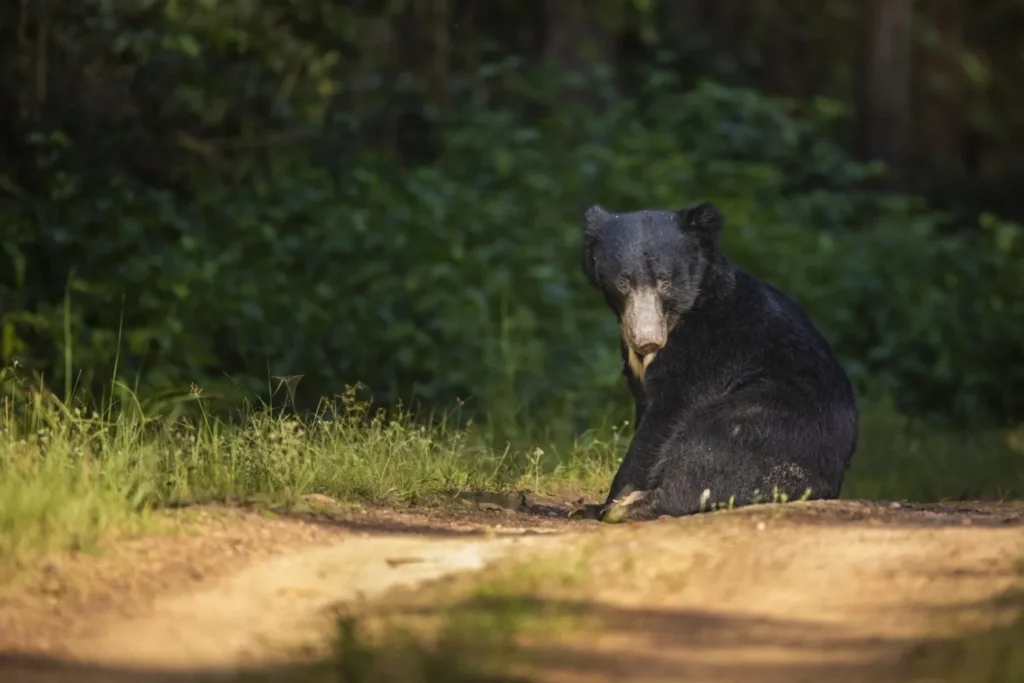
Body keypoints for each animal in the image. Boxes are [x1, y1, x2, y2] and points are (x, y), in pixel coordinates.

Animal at [579, 201, 859, 522]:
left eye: (664, 282)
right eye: (623, 282)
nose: (647, 339)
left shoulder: (706, 348)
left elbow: (669, 414)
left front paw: (609, 500)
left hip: (771, 424)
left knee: (708, 448)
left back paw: (629, 507)